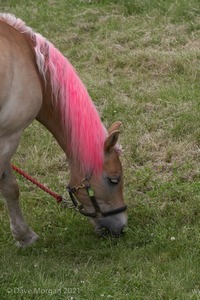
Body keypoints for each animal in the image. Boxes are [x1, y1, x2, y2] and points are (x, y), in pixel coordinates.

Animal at [0, 13, 127, 246]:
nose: (121, 227)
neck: (32, 62)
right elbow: (11, 188)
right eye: (114, 180)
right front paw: (25, 236)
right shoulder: (8, 137)